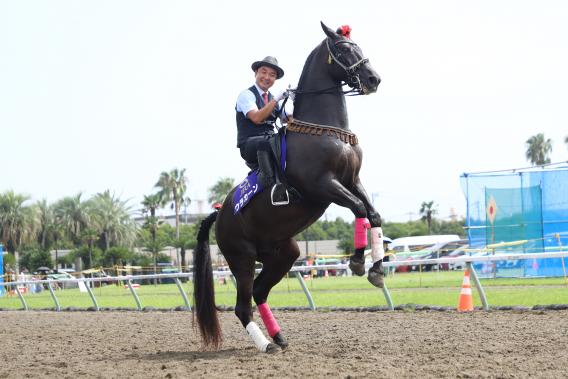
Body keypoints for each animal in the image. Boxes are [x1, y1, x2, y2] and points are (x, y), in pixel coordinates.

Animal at [193, 21, 384, 354]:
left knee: (259, 292)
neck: (327, 131)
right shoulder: (323, 186)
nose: (373, 79)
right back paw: (265, 345)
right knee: (243, 305)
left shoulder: (352, 181)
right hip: (242, 258)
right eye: (344, 49)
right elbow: (359, 208)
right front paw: (359, 262)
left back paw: (279, 337)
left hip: (283, 254)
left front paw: (378, 269)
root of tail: (221, 213)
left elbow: (373, 215)